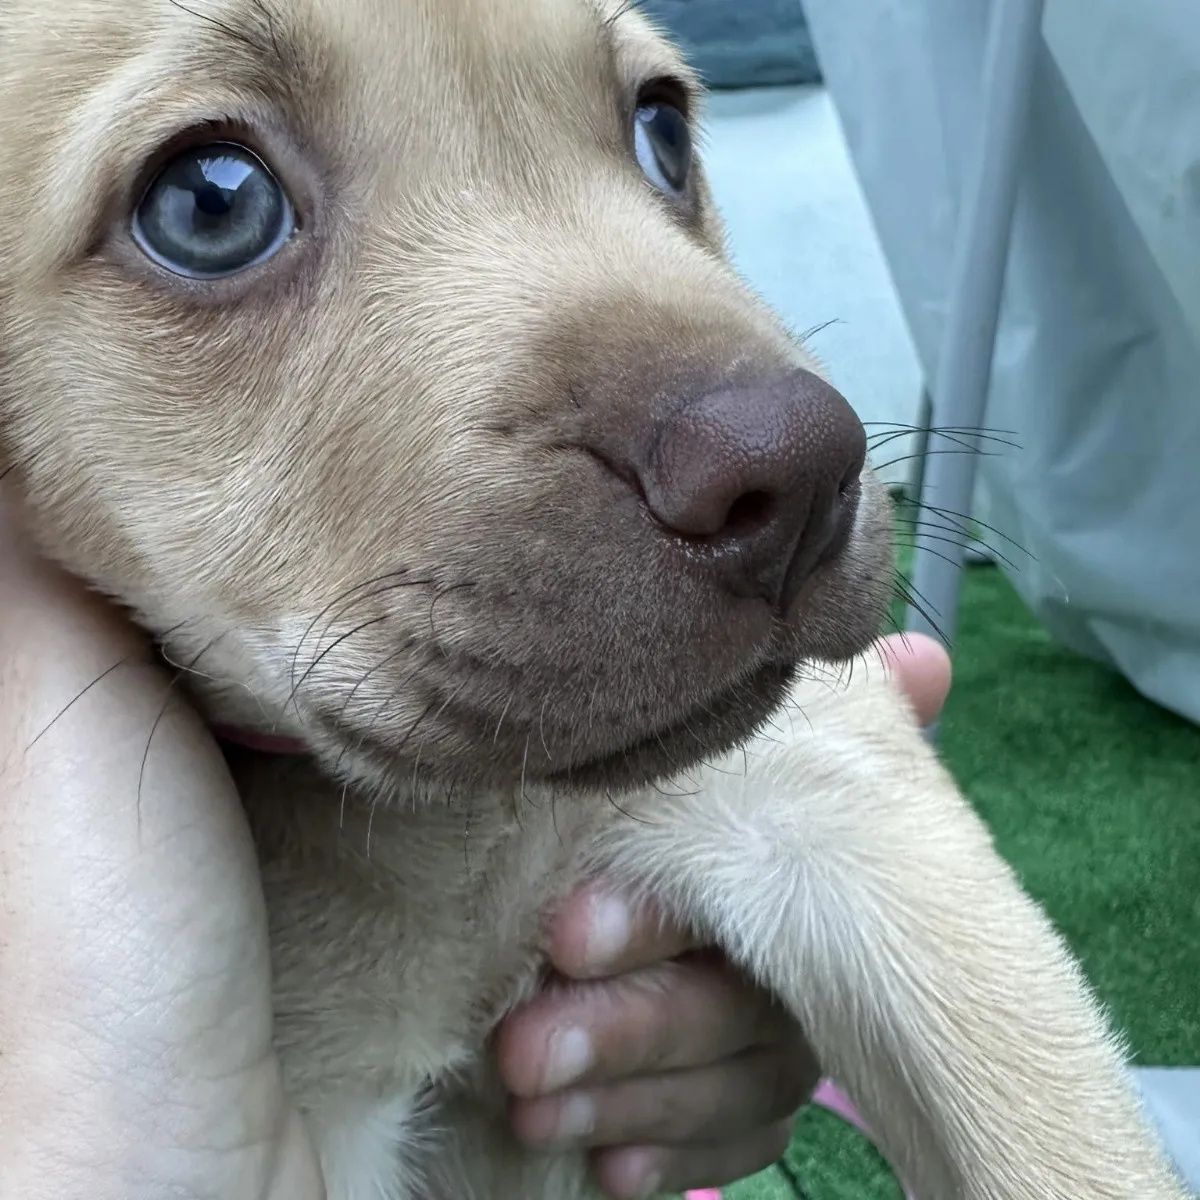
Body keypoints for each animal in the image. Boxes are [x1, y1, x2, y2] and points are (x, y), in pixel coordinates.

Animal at [0, 2, 1185, 1200]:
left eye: (662, 130)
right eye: (212, 203)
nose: (801, 472)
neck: (464, 825)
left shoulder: (856, 822)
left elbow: (1065, 1149)